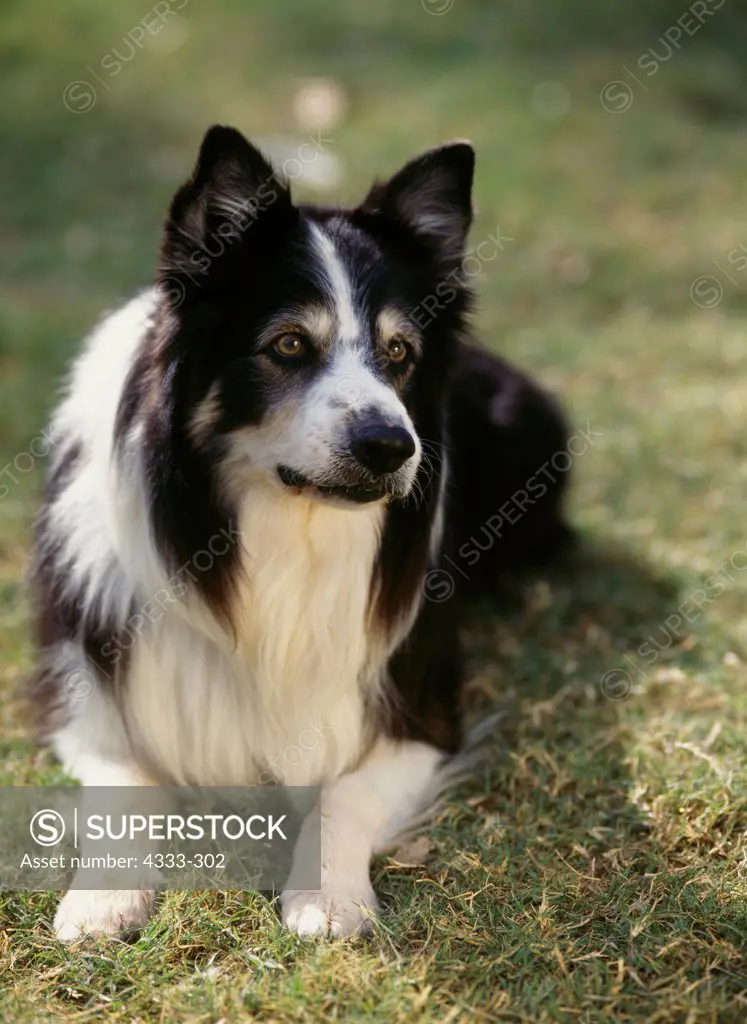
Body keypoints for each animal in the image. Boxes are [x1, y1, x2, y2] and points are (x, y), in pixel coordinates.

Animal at [26, 128, 569, 942]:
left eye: (399, 352)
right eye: (287, 345)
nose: (391, 446)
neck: (285, 534)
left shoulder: (422, 709)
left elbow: (343, 794)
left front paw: (327, 897)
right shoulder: (89, 694)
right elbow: (124, 786)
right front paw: (100, 898)